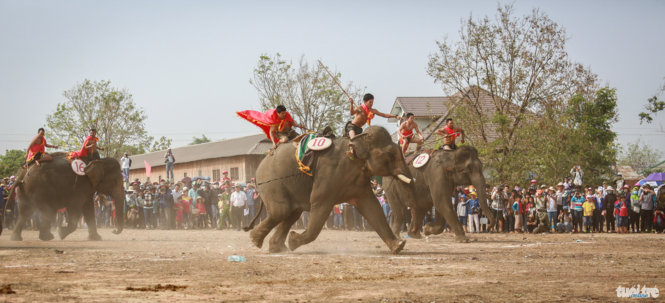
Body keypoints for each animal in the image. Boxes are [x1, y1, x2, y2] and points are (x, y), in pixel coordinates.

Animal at [248, 126, 416, 254]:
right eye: (390, 155)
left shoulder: (360, 182)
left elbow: (372, 207)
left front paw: (398, 246)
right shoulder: (329, 174)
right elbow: (319, 204)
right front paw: (293, 240)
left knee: (292, 213)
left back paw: (276, 247)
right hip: (272, 183)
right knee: (282, 211)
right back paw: (256, 240)